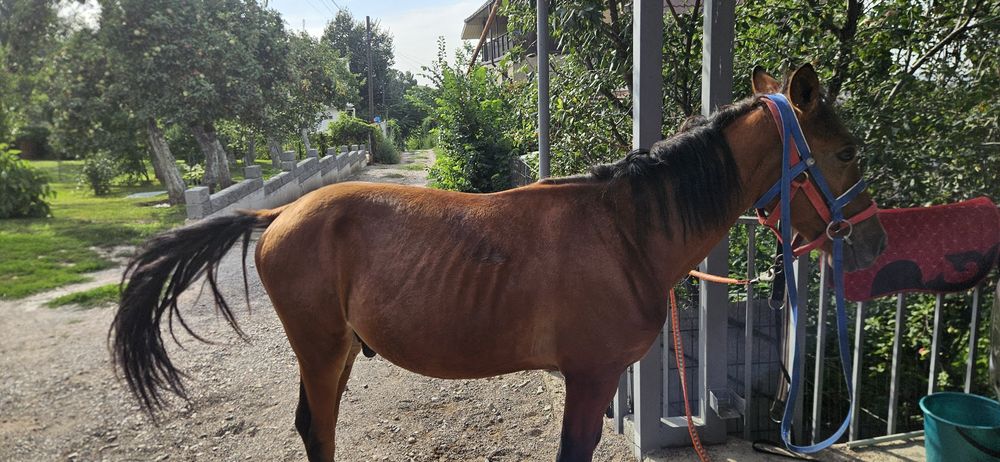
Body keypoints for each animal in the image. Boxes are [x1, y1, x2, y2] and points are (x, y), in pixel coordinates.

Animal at [110, 64, 887, 462]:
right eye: (847, 151)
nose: (873, 242)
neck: (625, 233)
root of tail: (277, 216)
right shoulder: (591, 376)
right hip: (322, 348)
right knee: (316, 429)